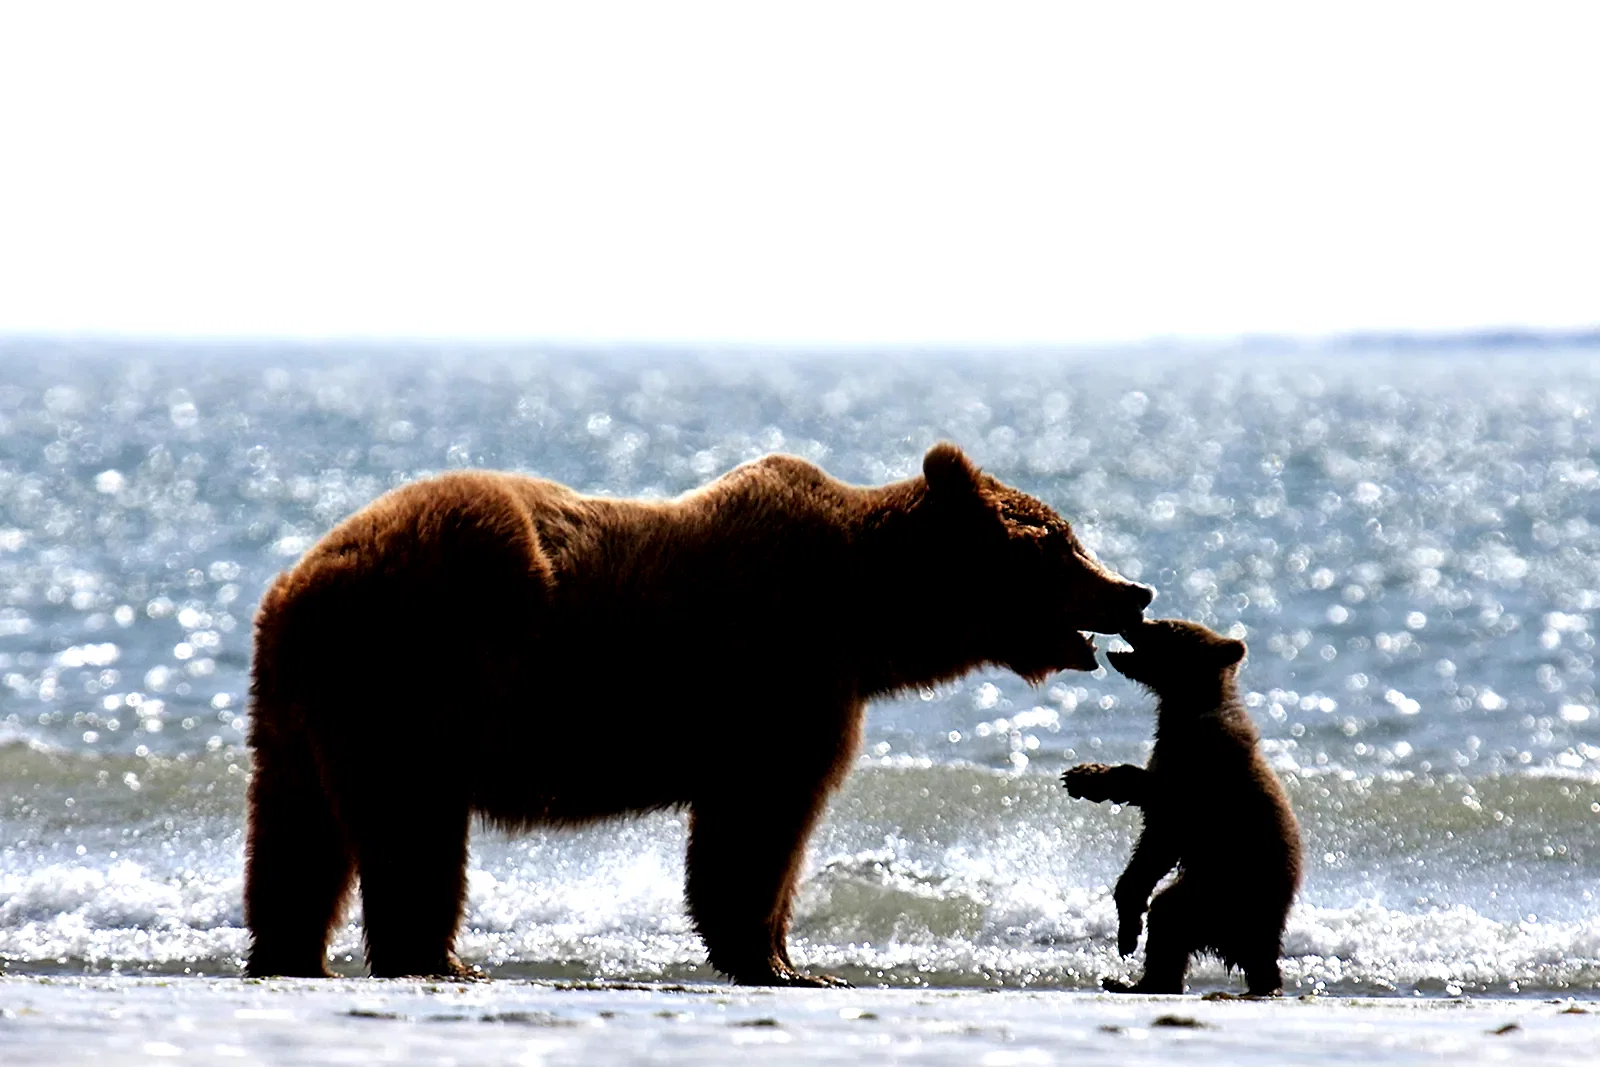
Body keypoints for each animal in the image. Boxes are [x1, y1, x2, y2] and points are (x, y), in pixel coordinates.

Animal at [244, 442, 1154, 985]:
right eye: (1059, 542)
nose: (1133, 590)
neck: (866, 615)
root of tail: (296, 582)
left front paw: (784, 954)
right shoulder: (780, 677)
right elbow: (760, 824)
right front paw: (779, 959)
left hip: (296, 710)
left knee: (296, 833)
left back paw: (293, 953)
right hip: (425, 668)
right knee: (413, 822)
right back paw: (434, 957)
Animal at [1061, 618, 1301, 996]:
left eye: (1164, 627)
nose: (1135, 621)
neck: (1184, 706)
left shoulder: (1200, 772)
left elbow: (1160, 804)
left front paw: (1084, 777)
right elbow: (1149, 854)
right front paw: (1127, 926)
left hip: (1221, 889)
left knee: (1169, 918)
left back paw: (1138, 982)